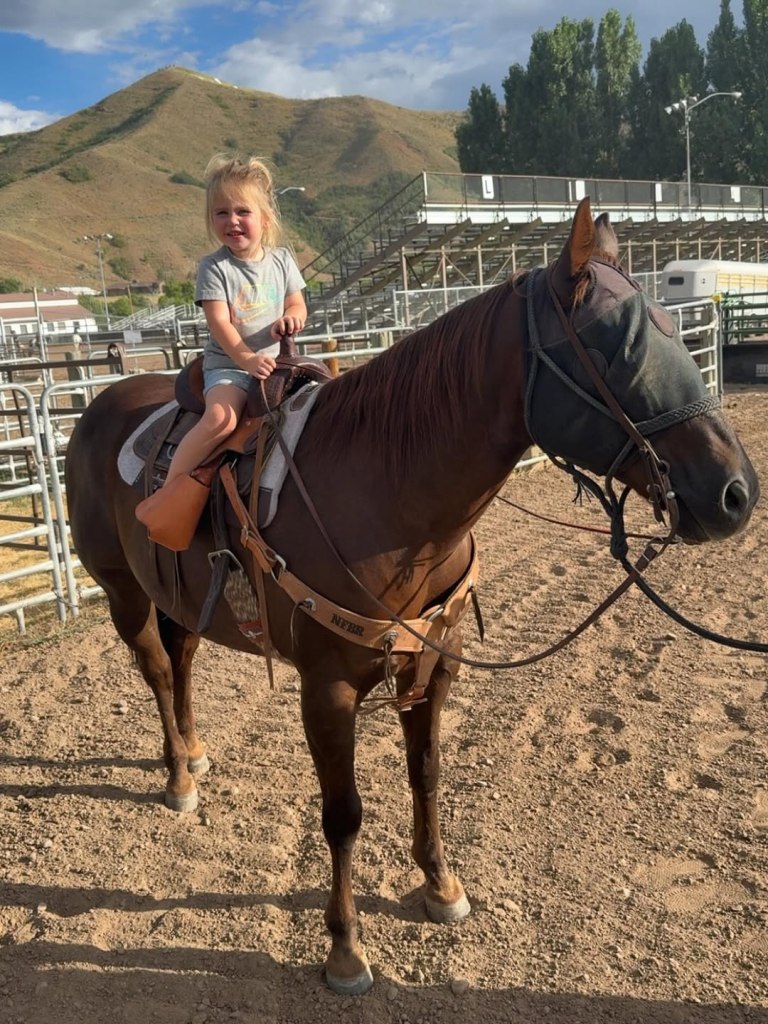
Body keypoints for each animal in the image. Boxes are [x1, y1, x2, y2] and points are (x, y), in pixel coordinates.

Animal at [64, 198, 759, 995]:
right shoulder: (328, 688)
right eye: (617, 344)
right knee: (154, 666)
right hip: (121, 590)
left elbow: (425, 775)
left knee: (179, 659)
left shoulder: (436, 661)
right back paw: (179, 774)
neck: (384, 487)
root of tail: (102, 401)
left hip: (174, 592)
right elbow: (342, 814)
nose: (736, 493)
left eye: (675, 328)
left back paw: (195, 750)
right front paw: (345, 948)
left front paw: (441, 886)